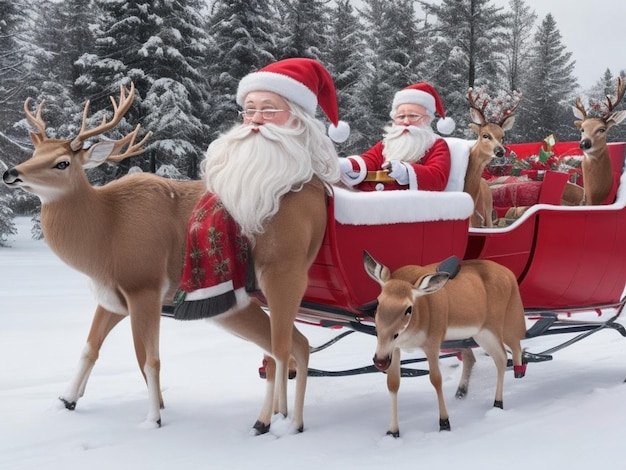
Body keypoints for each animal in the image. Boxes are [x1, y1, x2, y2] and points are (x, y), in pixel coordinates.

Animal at [1, 82, 310, 432]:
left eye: (62, 163)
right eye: (35, 153)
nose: (11, 172)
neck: (106, 234)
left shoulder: (144, 286)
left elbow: (148, 359)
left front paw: (153, 418)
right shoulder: (113, 299)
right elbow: (90, 348)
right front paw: (66, 399)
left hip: (277, 275)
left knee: (284, 348)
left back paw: (286, 422)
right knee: (290, 346)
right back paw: (277, 417)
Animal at [364, 250, 524, 436]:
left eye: (408, 308)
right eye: (378, 302)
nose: (380, 360)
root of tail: (510, 275)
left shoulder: (433, 341)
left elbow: (436, 379)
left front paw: (444, 423)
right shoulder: (395, 347)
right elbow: (393, 383)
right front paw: (392, 431)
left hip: (496, 326)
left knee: (506, 354)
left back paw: (500, 399)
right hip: (483, 332)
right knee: (498, 356)